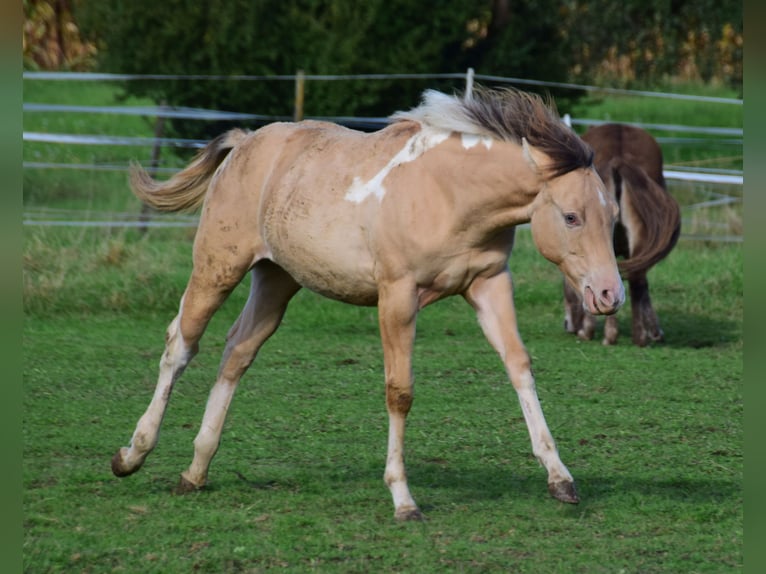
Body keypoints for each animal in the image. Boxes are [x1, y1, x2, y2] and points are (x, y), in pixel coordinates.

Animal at [109, 86, 624, 520]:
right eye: (572, 217)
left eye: (614, 215)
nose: (609, 295)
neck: (449, 192)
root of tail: (244, 143)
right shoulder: (397, 296)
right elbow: (400, 391)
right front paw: (403, 498)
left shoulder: (489, 285)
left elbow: (519, 367)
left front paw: (560, 478)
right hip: (218, 268)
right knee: (180, 345)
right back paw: (131, 455)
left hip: (277, 280)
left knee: (237, 351)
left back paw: (196, 470)